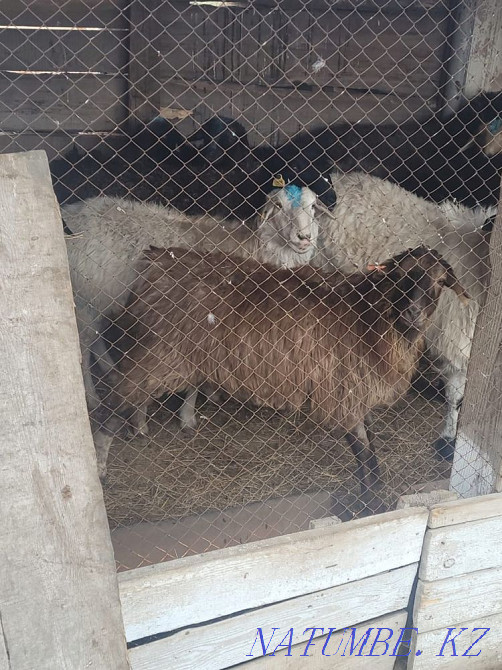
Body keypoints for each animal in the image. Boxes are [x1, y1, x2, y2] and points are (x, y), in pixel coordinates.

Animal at [63, 185, 325, 430]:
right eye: (279, 206)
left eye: (313, 206)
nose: (304, 237)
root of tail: (71, 211)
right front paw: (184, 416)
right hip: (84, 298)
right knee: (83, 346)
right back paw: (91, 397)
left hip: (98, 299)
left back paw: (110, 369)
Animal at [94, 245, 468, 503]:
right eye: (400, 276)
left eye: (439, 281)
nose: (412, 312)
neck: (372, 317)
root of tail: (155, 262)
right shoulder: (342, 390)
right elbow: (363, 450)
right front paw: (371, 498)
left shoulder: (353, 391)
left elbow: (368, 446)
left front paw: (371, 491)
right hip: (153, 358)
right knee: (109, 411)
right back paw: (99, 472)